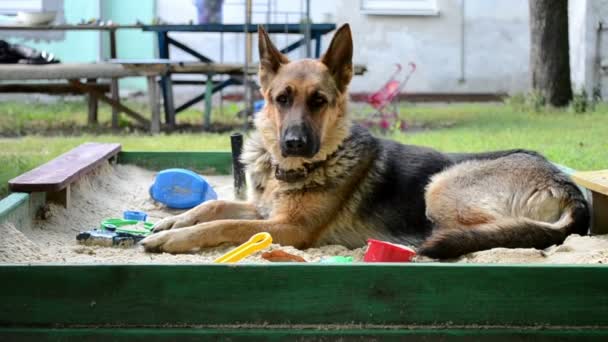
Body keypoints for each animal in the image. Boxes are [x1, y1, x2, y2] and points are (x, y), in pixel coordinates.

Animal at [141, 24, 588, 260]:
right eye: (281, 99)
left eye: (319, 101)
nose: (294, 143)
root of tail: (567, 186)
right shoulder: (266, 210)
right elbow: (215, 206)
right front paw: (171, 220)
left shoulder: (289, 227)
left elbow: (224, 224)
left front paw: (170, 238)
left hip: (441, 185)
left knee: (490, 232)